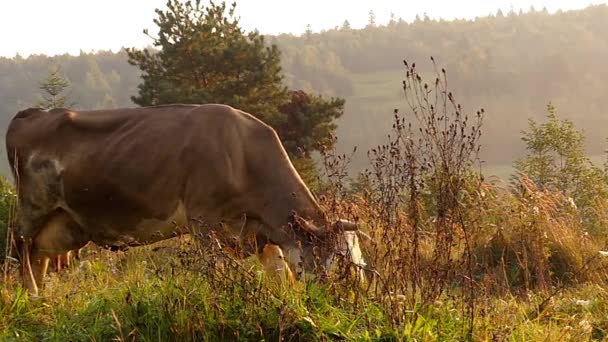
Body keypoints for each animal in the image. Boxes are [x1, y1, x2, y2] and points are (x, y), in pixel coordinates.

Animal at [5, 103, 366, 296]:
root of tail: (33, 113)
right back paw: (32, 293)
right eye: (340, 263)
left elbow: (280, 276)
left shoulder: (261, 235)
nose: (356, 297)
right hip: (33, 205)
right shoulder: (203, 222)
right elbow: (216, 271)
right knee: (21, 246)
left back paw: (42, 294)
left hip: (65, 222)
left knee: (40, 254)